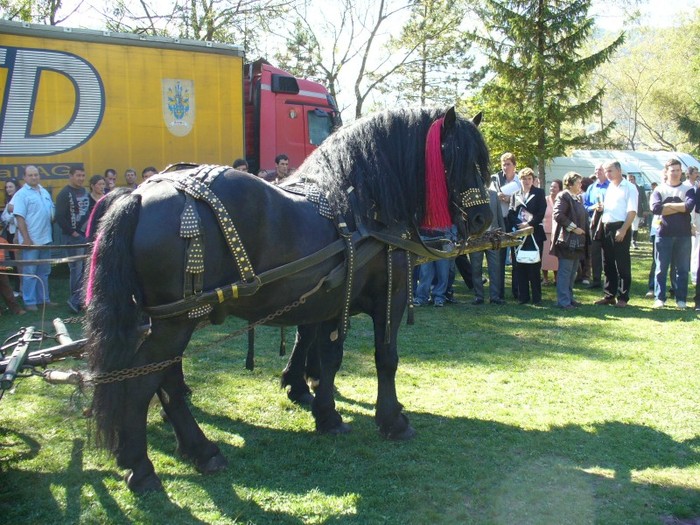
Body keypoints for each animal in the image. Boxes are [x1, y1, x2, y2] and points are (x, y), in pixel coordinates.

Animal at [85, 106, 492, 492]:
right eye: (459, 156)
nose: (483, 219)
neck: (362, 206)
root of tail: (139, 194)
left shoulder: (331, 299)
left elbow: (328, 358)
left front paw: (326, 414)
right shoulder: (389, 297)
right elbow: (385, 359)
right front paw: (392, 420)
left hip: (171, 320)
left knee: (165, 379)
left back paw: (197, 449)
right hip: (176, 322)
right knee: (144, 381)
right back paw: (142, 466)